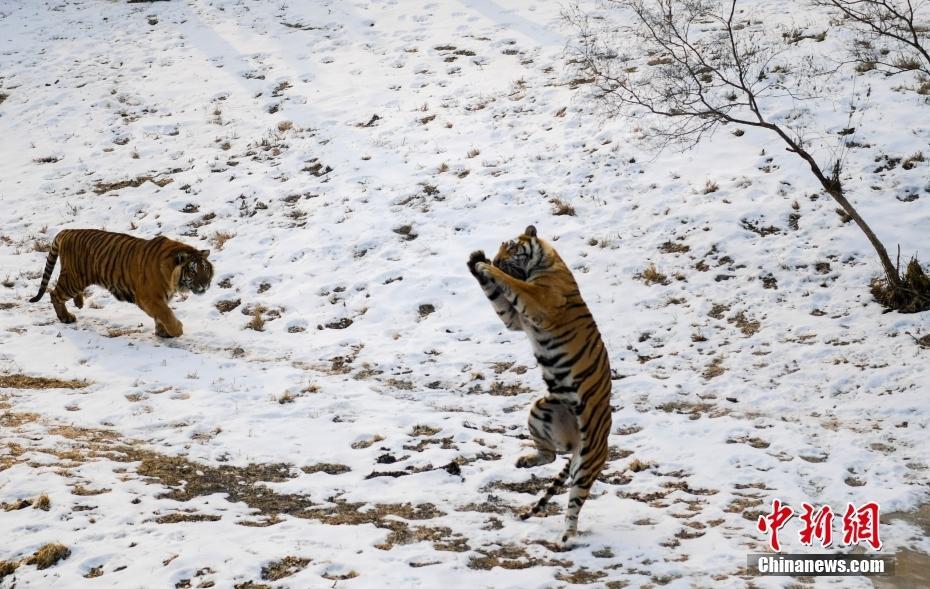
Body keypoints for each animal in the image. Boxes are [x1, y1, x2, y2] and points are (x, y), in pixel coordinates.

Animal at [28, 229, 213, 338]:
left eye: (205, 269)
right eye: (193, 271)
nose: (205, 285)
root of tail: (68, 230)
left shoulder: (159, 299)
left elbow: (161, 315)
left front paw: (163, 333)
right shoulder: (149, 298)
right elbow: (166, 313)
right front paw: (177, 330)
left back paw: (78, 302)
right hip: (73, 280)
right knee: (54, 294)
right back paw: (66, 317)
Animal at [468, 225, 612, 544]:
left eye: (510, 247)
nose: (496, 259)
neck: (548, 262)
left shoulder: (539, 301)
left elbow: (512, 284)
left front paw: (486, 267)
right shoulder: (514, 319)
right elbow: (496, 295)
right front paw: (475, 260)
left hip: (587, 461)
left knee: (575, 501)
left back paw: (566, 539)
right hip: (542, 409)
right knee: (551, 454)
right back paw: (524, 461)